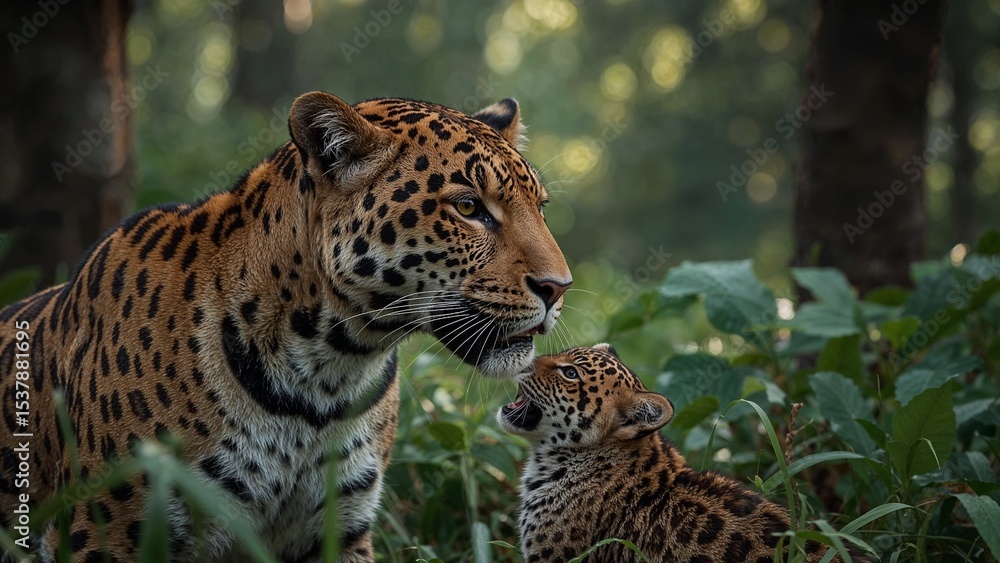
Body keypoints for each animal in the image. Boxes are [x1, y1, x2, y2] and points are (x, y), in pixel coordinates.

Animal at [0, 91, 572, 562]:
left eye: (541, 208)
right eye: (469, 207)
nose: (558, 287)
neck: (324, 372)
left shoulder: (339, 527)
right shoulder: (111, 533)